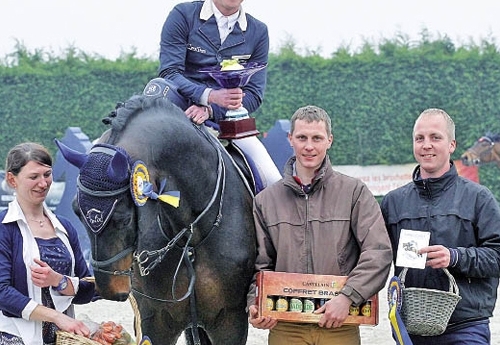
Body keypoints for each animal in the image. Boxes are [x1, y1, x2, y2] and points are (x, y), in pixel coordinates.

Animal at [56, 94, 256, 344]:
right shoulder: (156, 319)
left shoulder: (230, 320)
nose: (110, 290)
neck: (192, 234)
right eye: (76, 211)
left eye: (123, 218)